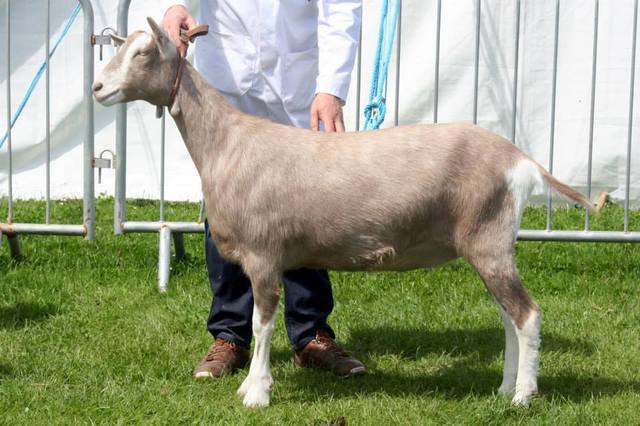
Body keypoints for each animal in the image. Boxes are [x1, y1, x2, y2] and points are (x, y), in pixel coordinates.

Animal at [94, 18, 596, 408]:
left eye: (142, 52)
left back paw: (523, 397)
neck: (228, 144)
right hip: (489, 246)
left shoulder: (263, 255)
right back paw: (505, 388)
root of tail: (520, 160)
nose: (98, 87)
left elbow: (261, 325)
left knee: (527, 315)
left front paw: (256, 392)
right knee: (509, 318)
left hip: (489, 240)